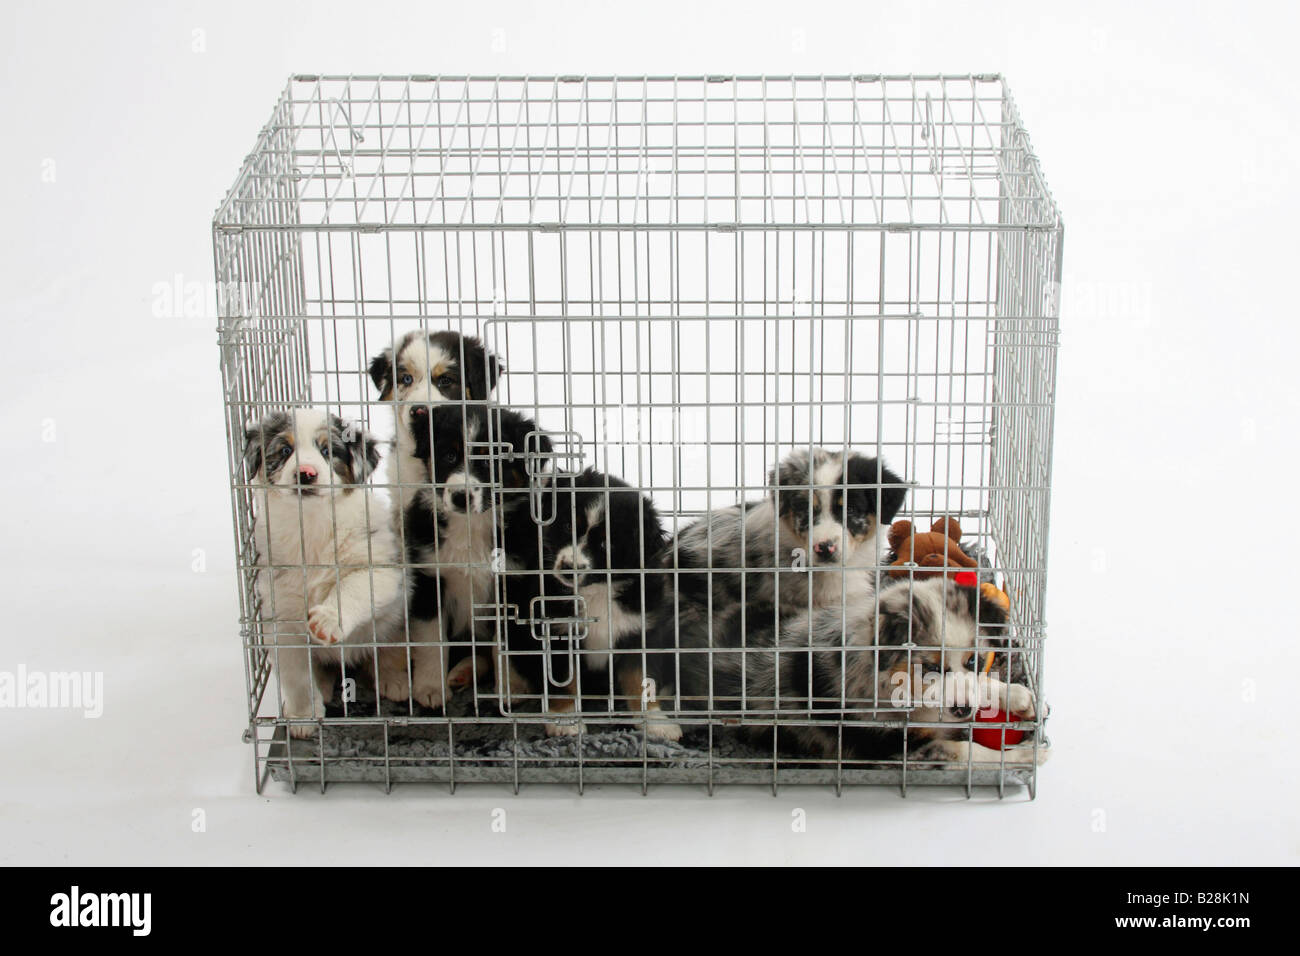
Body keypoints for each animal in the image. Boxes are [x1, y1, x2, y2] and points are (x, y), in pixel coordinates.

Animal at [243, 408, 405, 738]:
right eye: (285, 450)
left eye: (328, 451)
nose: (305, 473)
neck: (312, 526)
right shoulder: (280, 619)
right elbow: (296, 677)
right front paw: (303, 718)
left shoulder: (384, 569)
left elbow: (353, 587)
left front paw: (327, 619)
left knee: (388, 650)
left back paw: (396, 682)